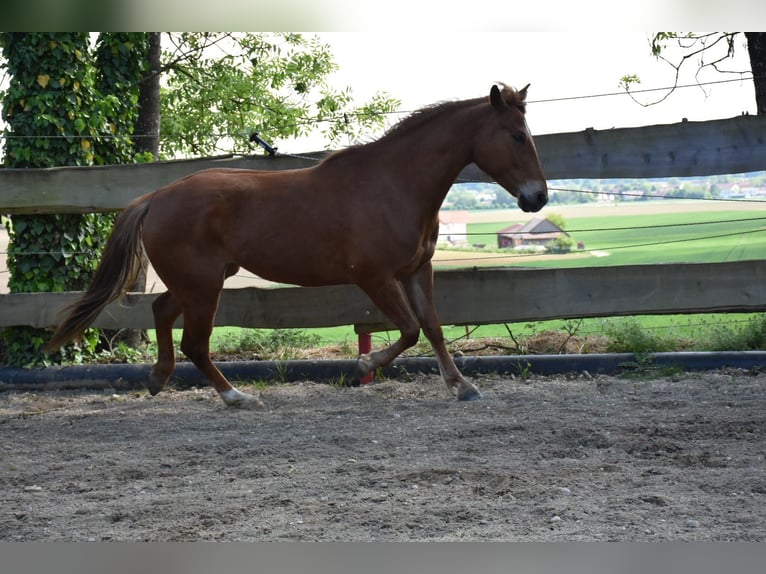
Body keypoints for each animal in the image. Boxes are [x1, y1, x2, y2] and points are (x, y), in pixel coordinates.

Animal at [45, 83, 548, 408]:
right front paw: (363, 366)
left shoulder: (415, 271)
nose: (538, 198)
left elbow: (433, 328)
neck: (394, 184)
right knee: (195, 342)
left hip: (201, 280)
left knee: (162, 311)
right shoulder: (374, 276)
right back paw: (237, 397)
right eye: (516, 135)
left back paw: (157, 378)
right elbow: (407, 330)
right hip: (204, 286)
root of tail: (155, 198)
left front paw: (461, 386)